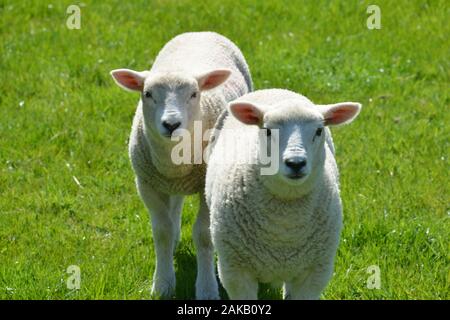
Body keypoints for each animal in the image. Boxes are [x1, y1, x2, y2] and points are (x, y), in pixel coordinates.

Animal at [107, 31, 251, 298]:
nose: (171, 124)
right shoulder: (147, 184)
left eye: (194, 94)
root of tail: (201, 31)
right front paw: (162, 284)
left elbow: (203, 236)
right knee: (174, 203)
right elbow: (161, 232)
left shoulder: (205, 184)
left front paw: (206, 288)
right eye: (148, 94)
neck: (175, 161)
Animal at [206, 89, 360, 298]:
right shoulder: (235, 272)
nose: (296, 163)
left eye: (318, 131)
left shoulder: (315, 273)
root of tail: (275, 90)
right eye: (268, 131)